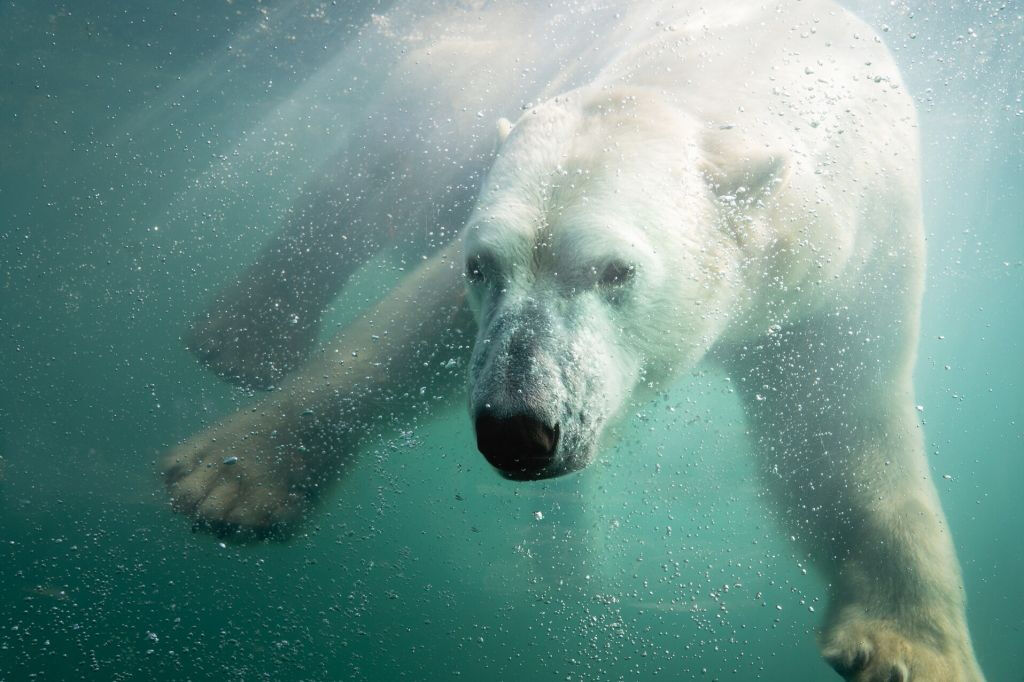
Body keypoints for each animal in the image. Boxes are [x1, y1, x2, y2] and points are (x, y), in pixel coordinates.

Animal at [163, 2, 987, 675]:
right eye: (481, 265)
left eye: (616, 270)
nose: (516, 429)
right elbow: (413, 332)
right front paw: (232, 475)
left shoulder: (854, 267)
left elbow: (838, 440)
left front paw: (910, 647)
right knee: (385, 176)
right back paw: (242, 338)